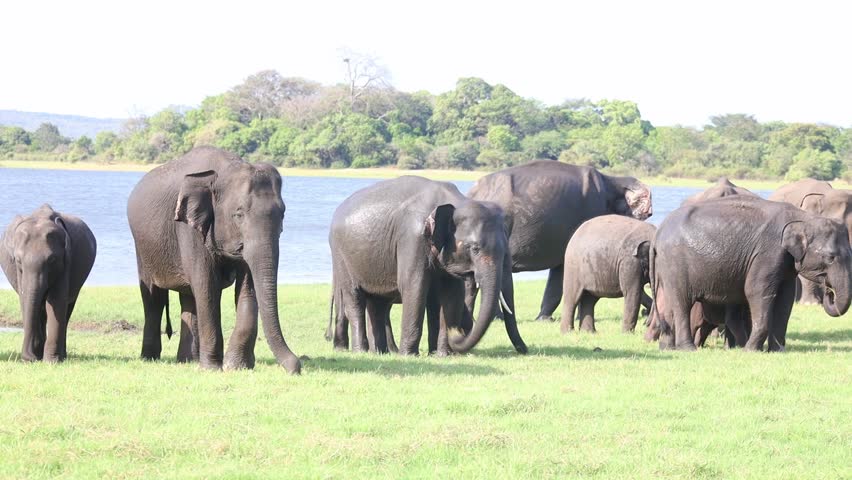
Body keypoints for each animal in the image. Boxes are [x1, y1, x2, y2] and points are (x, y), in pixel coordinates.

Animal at [0, 205, 96, 362]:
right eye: (18, 260)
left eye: (51, 260)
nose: (29, 358)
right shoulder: (19, 271)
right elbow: (26, 298)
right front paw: (36, 358)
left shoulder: (66, 260)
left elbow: (56, 301)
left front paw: (51, 361)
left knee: (67, 308)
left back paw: (61, 356)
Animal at [126, 146, 300, 374]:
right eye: (239, 214)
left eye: (283, 215)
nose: (296, 366)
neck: (225, 169)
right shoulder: (188, 228)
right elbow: (206, 285)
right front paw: (212, 369)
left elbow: (248, 287)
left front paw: (236, 367)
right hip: (143, 248)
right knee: (154, 298)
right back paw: (150, 358)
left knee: (188, 298)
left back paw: (187, 361)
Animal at [328, 175, 526, 356]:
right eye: (475, 248)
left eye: (506, 251)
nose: (458, 334)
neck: (455, 201)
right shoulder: (412, 238)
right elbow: (414, 286)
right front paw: (408, 355)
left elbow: (450, 294)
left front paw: (442, 355)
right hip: (341, 257)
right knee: (354, 298)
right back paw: (361, 351)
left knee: (378, 303)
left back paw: (380, 352)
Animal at [651, 195, 851, 352]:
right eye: (831, 257)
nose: (829, 291)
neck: (804, 218)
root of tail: (658, 232)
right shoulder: (767, 254)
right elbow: (757, 291)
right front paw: (750, 350)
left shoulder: (786, 263)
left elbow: (785, 298)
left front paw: (777, 351)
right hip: (675, 263)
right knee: (682, 303)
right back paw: (688, 349)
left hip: (666, 267)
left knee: (668, 304)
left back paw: (666, 348)